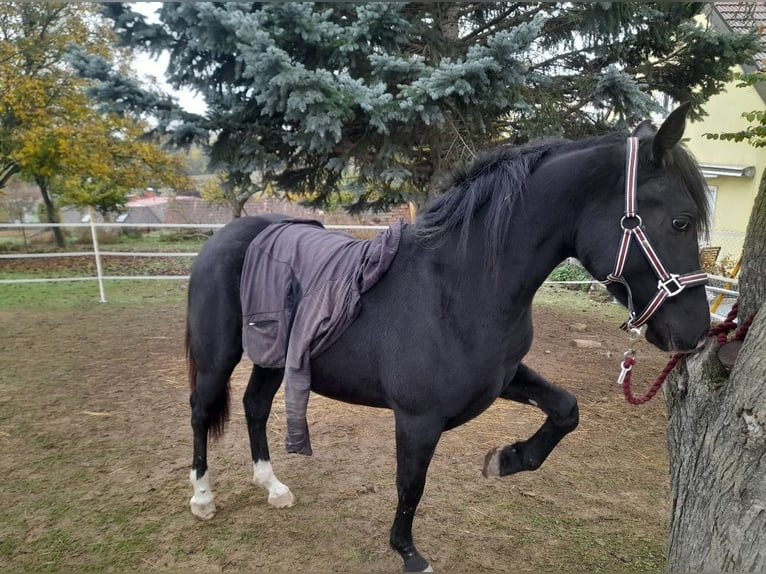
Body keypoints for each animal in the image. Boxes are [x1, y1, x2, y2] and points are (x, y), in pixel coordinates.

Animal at [186, 104, 712, 574]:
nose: (696, 332)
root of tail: (228, 234)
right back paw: (203, 498)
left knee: (255, 407)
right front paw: (409, 554)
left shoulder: (503, 377)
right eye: (681, 221)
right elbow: (410, 484)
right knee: (201, 412)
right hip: (218, 359)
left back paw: (272, 486)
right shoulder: (418, 419)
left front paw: (508, 459)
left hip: (273, 359)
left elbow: (566, 408)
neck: (458, 285)